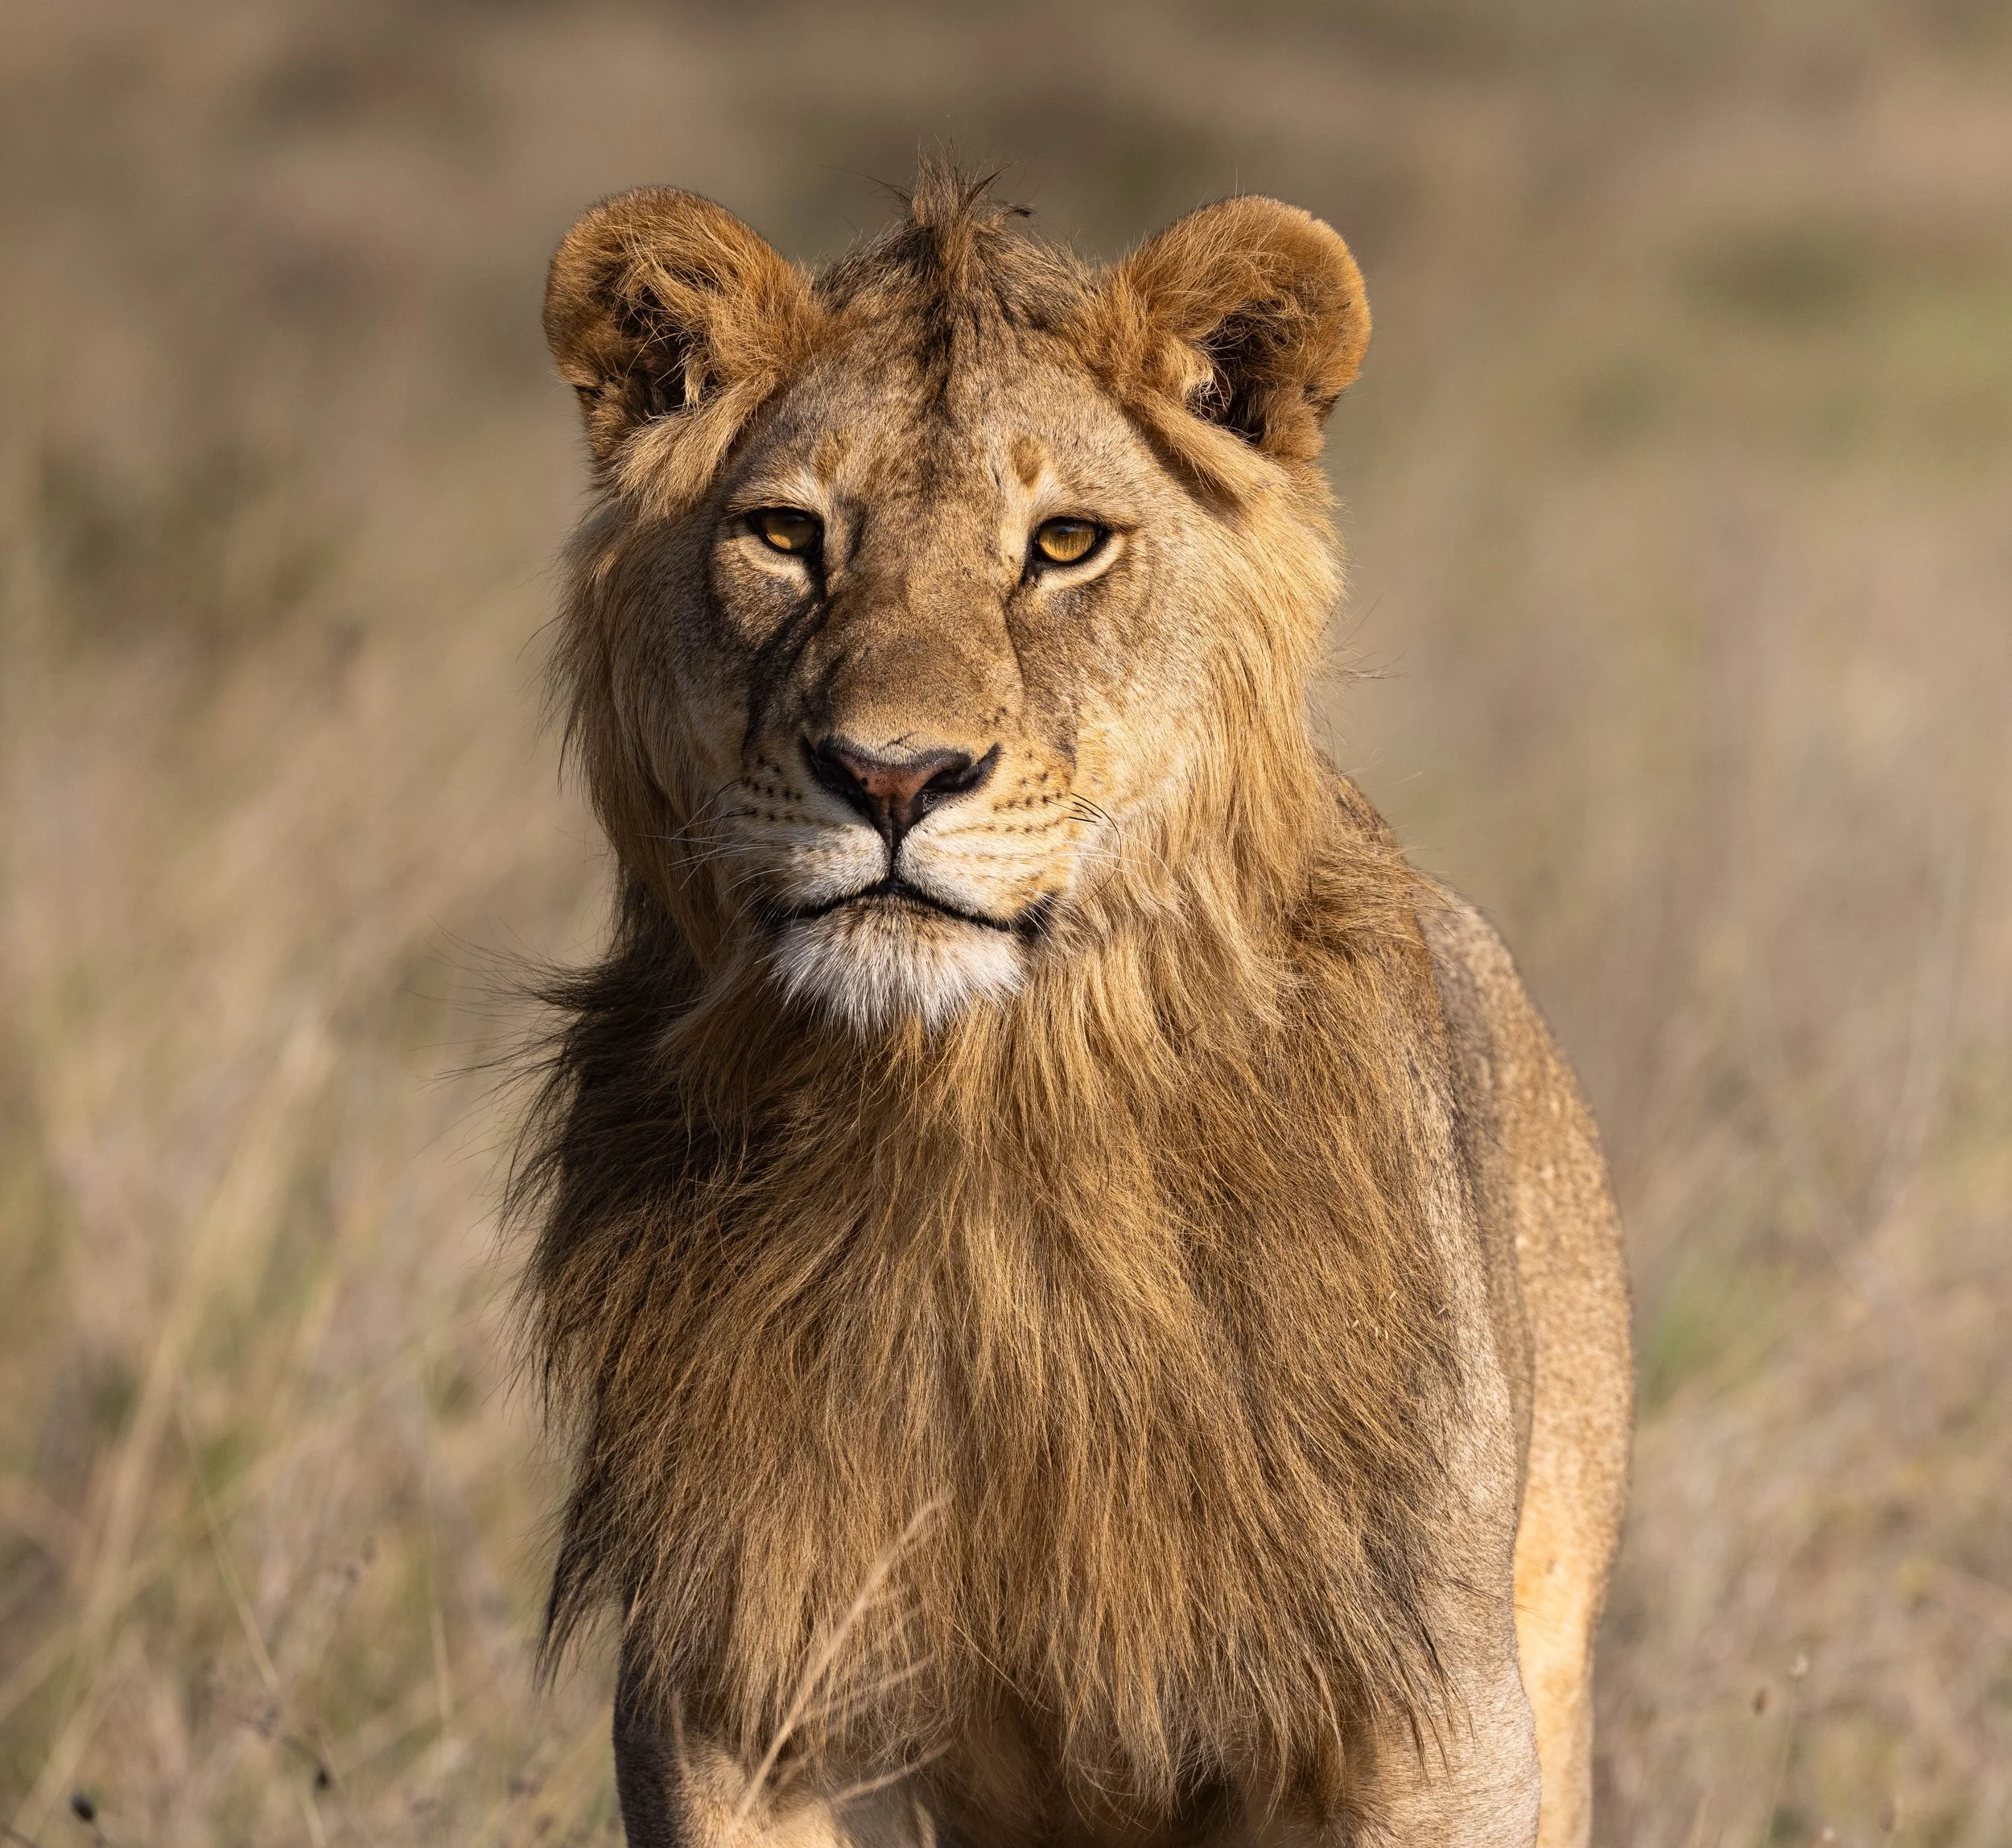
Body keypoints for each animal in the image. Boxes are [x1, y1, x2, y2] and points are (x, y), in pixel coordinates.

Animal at [517, 166, 1631, 1848]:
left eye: (1063, 545)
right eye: (785, 535)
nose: (893, 775)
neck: (974, 1119)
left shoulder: (1433, 1711)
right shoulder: (732, 1685)